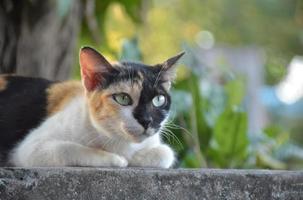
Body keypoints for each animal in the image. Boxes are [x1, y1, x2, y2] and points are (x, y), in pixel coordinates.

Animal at [0, 46, 185, 167]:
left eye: (159, 100)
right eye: (123, 98)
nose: (146, 120)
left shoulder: (159, 147)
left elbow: (165, 153)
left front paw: (134, 158)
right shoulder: (30, 149)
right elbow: (69, 148)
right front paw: (118, 160)